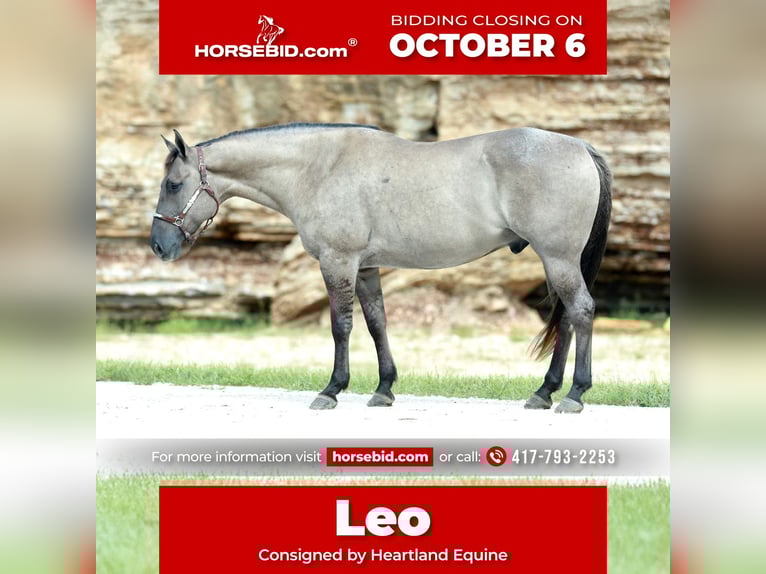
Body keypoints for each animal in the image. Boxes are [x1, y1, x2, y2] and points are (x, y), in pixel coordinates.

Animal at [151, 123, 611, 413]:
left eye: (173, 184)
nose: (158, 245)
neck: (318, 167)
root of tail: (581, 148)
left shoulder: (339, 261)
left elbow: (341, 327)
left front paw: (332, 390)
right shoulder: (367, 268)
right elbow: (377, 324)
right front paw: (384, 388)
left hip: (558, 257)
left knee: (581, 311)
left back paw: (574, 395)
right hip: (557, 261)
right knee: (566, 320)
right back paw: (544, 392)